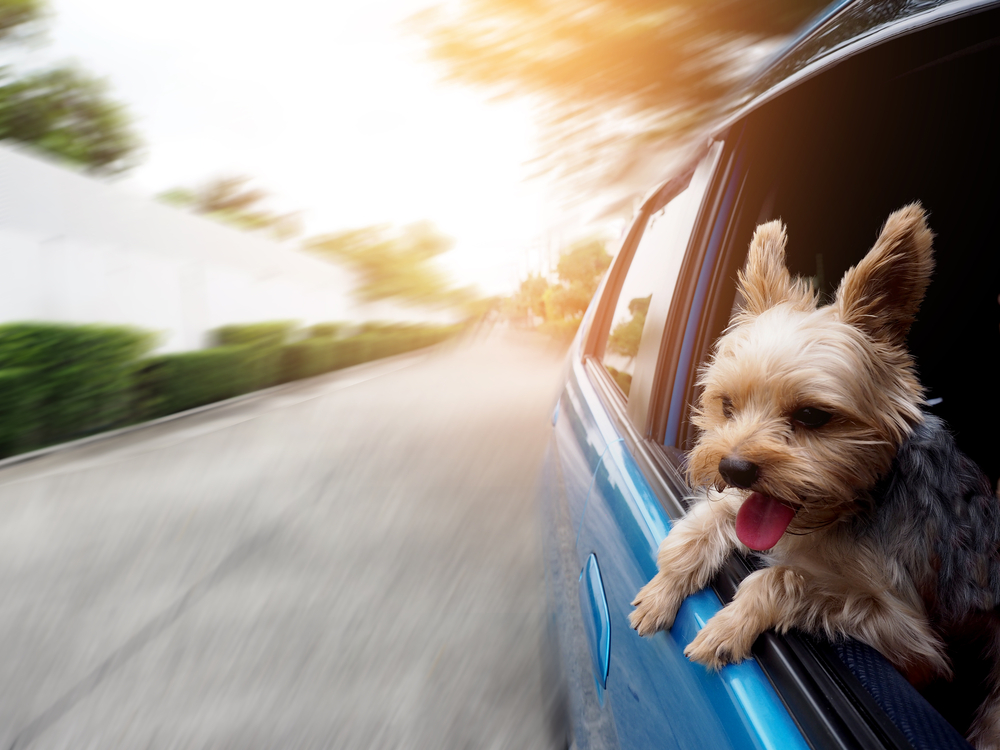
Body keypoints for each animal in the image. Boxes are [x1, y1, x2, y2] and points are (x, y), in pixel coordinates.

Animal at [628, 203, 1000, 748]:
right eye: (727, 405)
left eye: (812, 416)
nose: (733, 467)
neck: (847, 510)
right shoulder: (747, 503)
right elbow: (708, 521)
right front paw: (662, 589)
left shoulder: (910, 637)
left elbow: (785, 577)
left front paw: (728, 625)